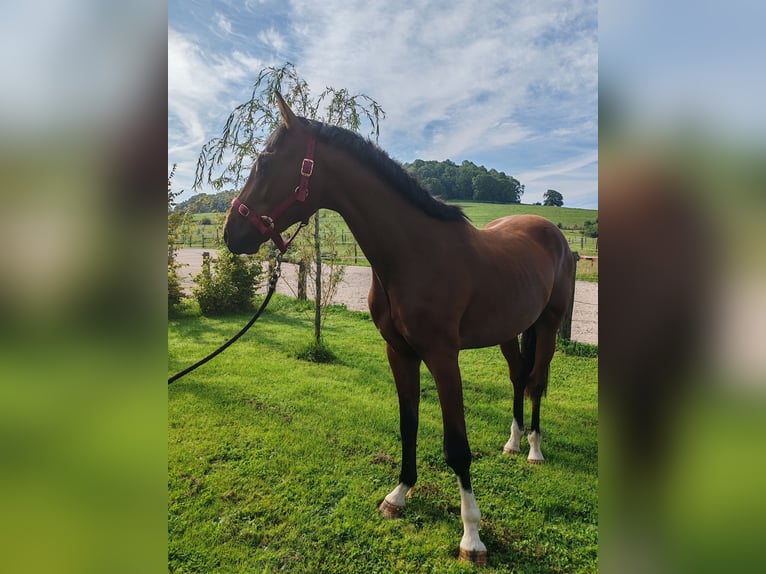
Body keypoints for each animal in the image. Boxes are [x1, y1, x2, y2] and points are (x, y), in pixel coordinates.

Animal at [222, 94, 576, 568]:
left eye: (264, 162)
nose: (232, 233)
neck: (412, 252)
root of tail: (552, 231)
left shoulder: (443, 359)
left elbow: (457, 446)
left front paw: (472, 537)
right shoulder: (400, 352)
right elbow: (409, 424)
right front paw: (399, 494)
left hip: (549, 324)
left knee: (537, 380)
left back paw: (535, 448)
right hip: (509, 329)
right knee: (519, 375)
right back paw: (514, 442)